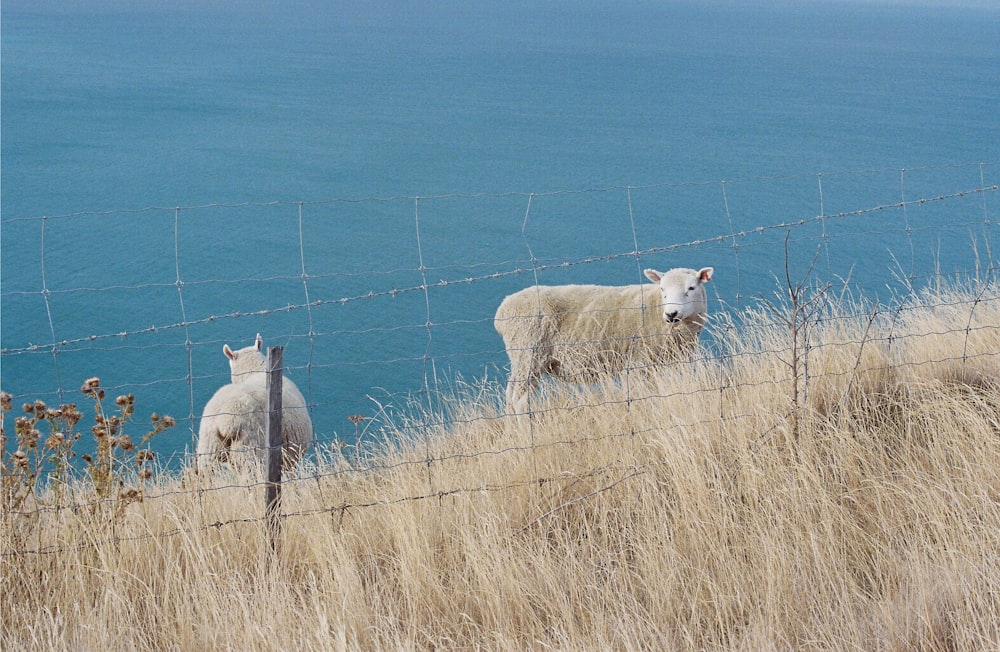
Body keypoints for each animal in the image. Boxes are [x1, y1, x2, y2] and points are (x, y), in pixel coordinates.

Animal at [492, 268, 712, 416]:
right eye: (662, 289)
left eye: (691, 288)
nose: (671, 314)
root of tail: (503, 309)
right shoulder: (638, 361)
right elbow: (640, 395)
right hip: (529, 352)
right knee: (520, 399)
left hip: (520, 357)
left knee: (509, 394)